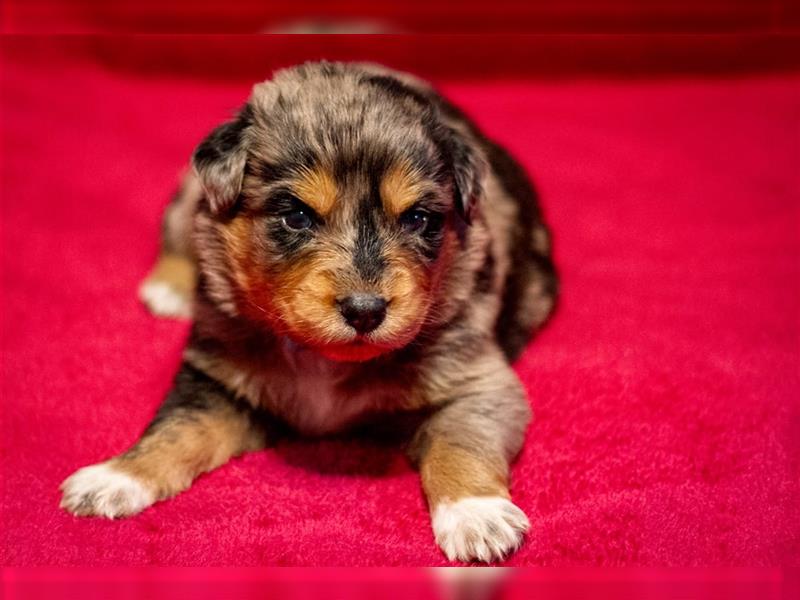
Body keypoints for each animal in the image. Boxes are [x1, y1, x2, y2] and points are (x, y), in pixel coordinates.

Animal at [61, 62, 556, 564]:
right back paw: (168, 287)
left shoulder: (476, 381)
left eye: (418, 219)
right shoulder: (215, 375)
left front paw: (477, 515)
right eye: (297, 216)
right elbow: (175, 428)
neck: (322, 358)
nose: (365, 311)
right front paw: (114, 477)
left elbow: (461, 440)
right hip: (189, 195)